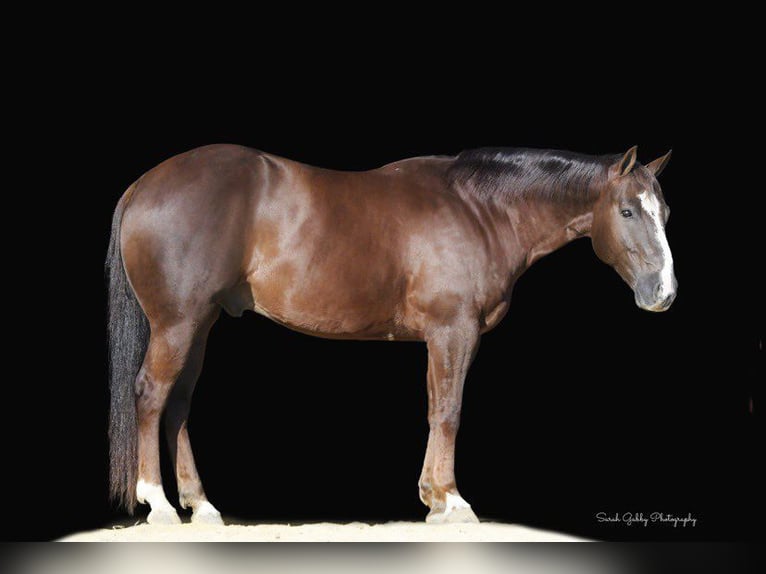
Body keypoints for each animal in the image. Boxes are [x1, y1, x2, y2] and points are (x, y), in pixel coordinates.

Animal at [105, 143, 676, 528]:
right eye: (627, 210)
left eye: (664, 213)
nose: (664, 292)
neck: (480, 210)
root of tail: (142, 185)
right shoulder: (454, 332)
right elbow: (448, 411)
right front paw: (453, 501)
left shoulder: (440, 339)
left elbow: (434, 408)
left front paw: (433, 498)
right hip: (178, 323)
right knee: (151, 395)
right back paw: (158, 503)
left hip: (200, 324)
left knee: (179, 405)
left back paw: (201, 505)